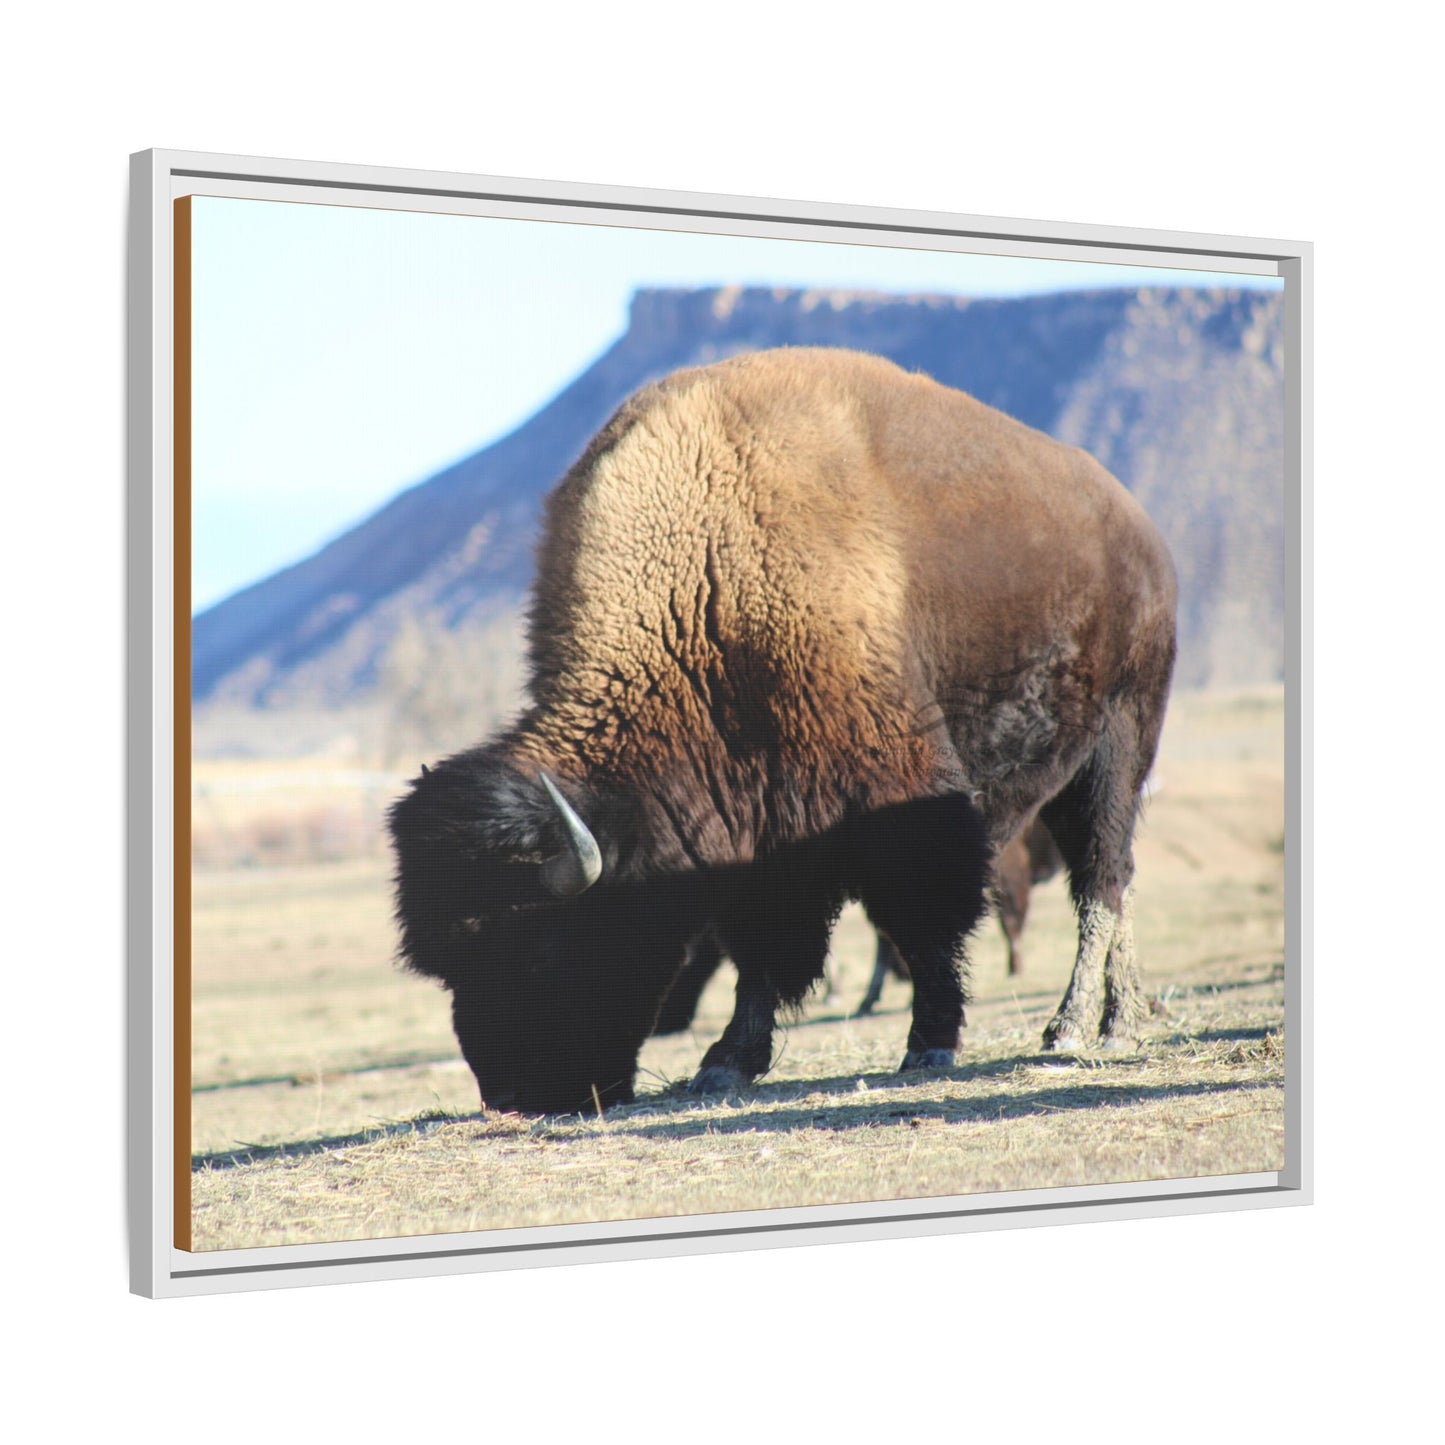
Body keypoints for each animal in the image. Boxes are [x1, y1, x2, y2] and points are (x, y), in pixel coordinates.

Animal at [389, 347, 1177, 1114]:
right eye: (449, 965)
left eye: (540, 947)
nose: (511, 1097)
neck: (705, 585)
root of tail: (1140, 531)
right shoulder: (757, 829)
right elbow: (761, 949)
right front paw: (726, 1062)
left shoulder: (898, 798)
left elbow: (920, 920)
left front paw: (929, 1043)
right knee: (1117, 880)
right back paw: (1120, 1017)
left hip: (1117, 746)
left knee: (1101, 880)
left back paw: (1076, 1026)